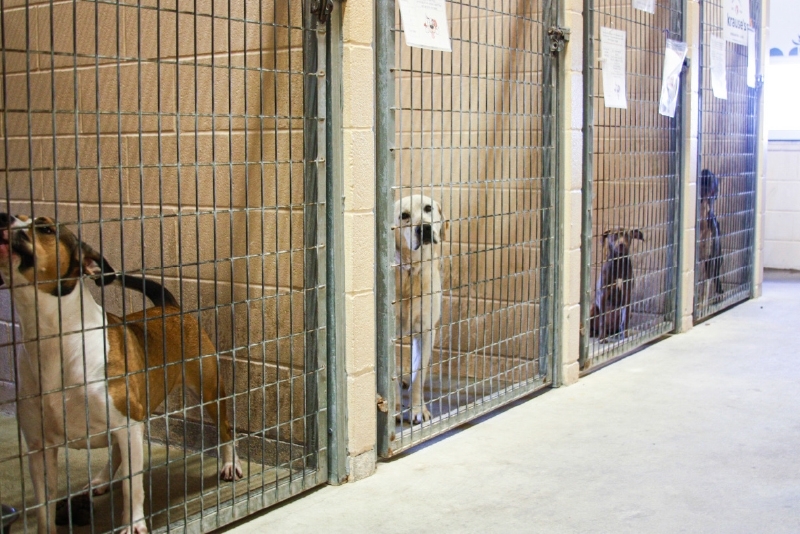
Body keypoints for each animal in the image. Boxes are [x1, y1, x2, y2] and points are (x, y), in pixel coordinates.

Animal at [0, 215, 241, 534]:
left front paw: (134, 524)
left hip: (209, 391)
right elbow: (43, 507)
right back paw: (101, 480)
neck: (53, 336)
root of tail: (169, 306)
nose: (2, 217)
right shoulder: (40, 448)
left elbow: (132, 486)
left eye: (45, 228)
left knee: (225, 429)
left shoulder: (129, 425)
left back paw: (229, 464)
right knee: (116, 453)